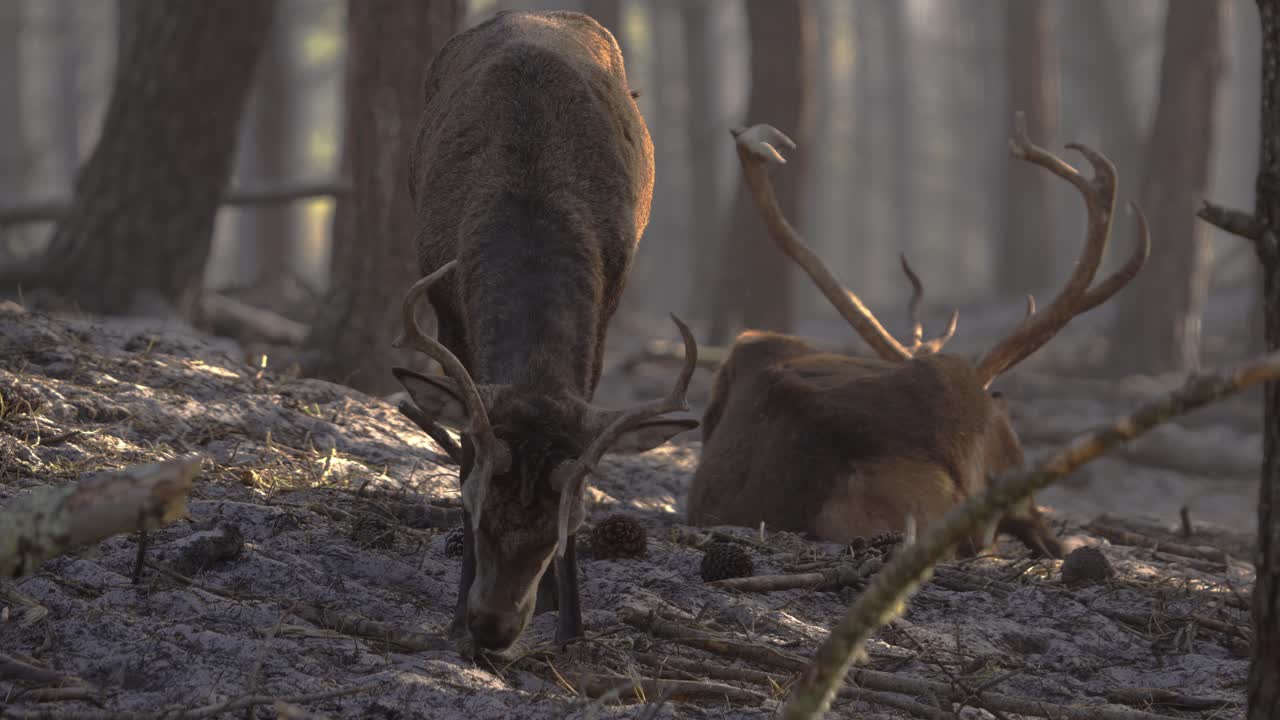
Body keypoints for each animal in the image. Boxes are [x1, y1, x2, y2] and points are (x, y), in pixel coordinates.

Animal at [389, 10, 699, 653]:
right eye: (476, 509)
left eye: (560, 528)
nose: (492, 627)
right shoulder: (446, 308)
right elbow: (464, 449)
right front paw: (453, 615)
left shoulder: (608, 309)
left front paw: (572, 628)